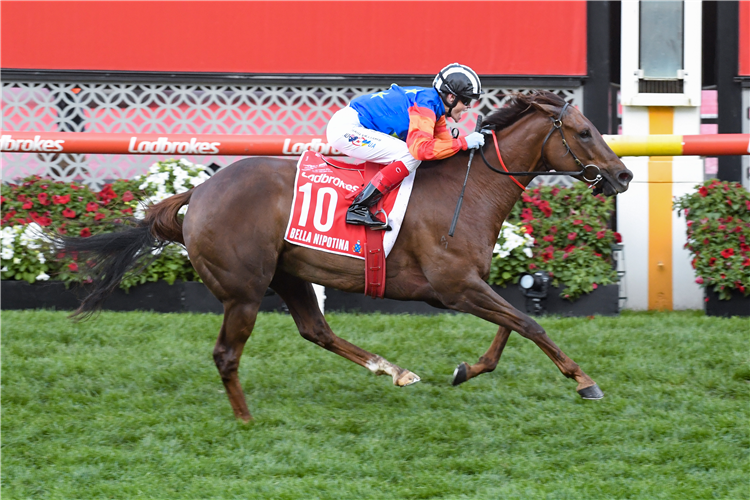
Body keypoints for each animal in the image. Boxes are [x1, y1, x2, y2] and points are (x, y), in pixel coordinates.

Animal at [61, 91, 636, 422]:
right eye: (584, 132)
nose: (624, 174)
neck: (467, 191)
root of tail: (197, 193)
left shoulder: (471, 283)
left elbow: (512, 326)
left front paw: (467, 369)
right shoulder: (454, 287)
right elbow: (529, 324)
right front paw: (584, 382)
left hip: (288, 274)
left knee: (316, 330)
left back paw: (393, 370)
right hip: (244, 291)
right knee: (227, 355)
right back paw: (246, 421)